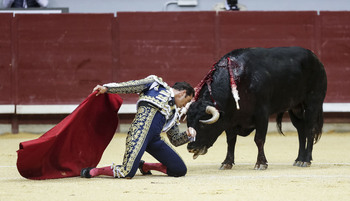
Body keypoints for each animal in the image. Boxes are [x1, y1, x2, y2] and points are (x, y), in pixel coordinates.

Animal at [187, 46, 326, 170]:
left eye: (203, 125)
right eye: (188, 123)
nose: (191, 147)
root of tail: (315, 58)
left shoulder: (262, 114)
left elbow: (259, 139)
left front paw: (261, 164)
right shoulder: (230, 119)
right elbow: (231, 140)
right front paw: (227, 163)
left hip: (313, 103)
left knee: (310, 130)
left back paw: (306, 160)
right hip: (295, 108)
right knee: (301, 131)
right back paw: (299, 159)